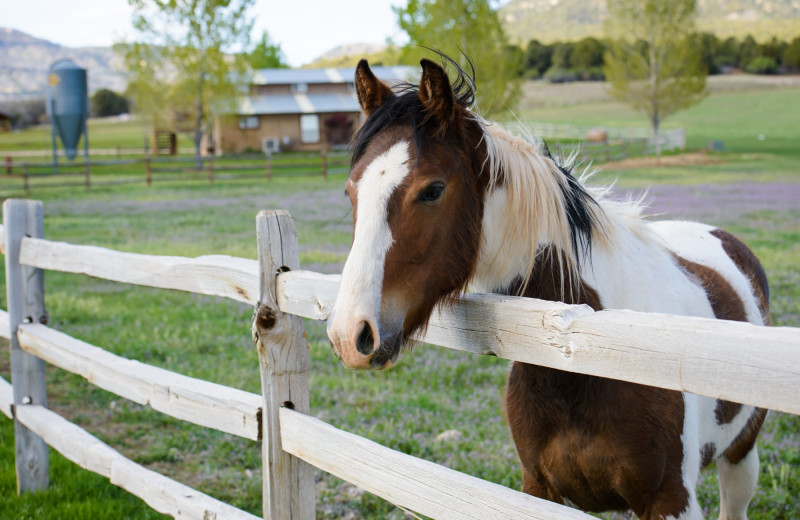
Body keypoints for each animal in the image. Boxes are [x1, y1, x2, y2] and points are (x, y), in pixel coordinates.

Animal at [324, 58, 768, 520]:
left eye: (432, 190)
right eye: (350, 192)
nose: (350, 334)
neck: (586, 347)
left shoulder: (671, 499)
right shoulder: (539, 488)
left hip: (741, 456)